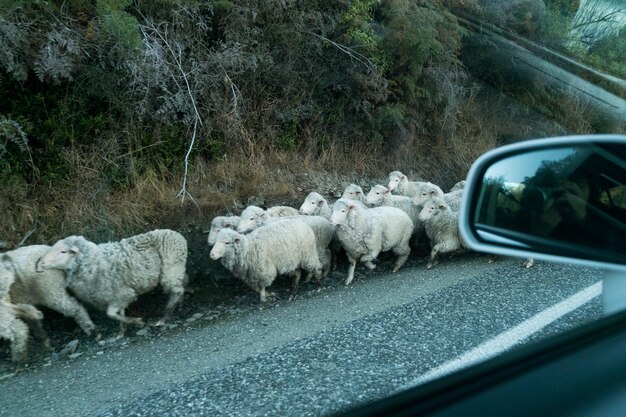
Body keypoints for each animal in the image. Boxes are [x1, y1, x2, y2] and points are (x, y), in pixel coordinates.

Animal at [36, 228, 186, 328]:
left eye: (63, 251)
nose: (41, 262)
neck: (95, 261)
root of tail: (176, 233)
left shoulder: (123, 293)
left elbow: (111, 314)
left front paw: (135, 321)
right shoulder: (115, 296)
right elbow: (118, 313)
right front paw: (122, 331)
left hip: (171, 269)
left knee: (177, 291)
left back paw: (164, 317)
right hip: (176, 269)